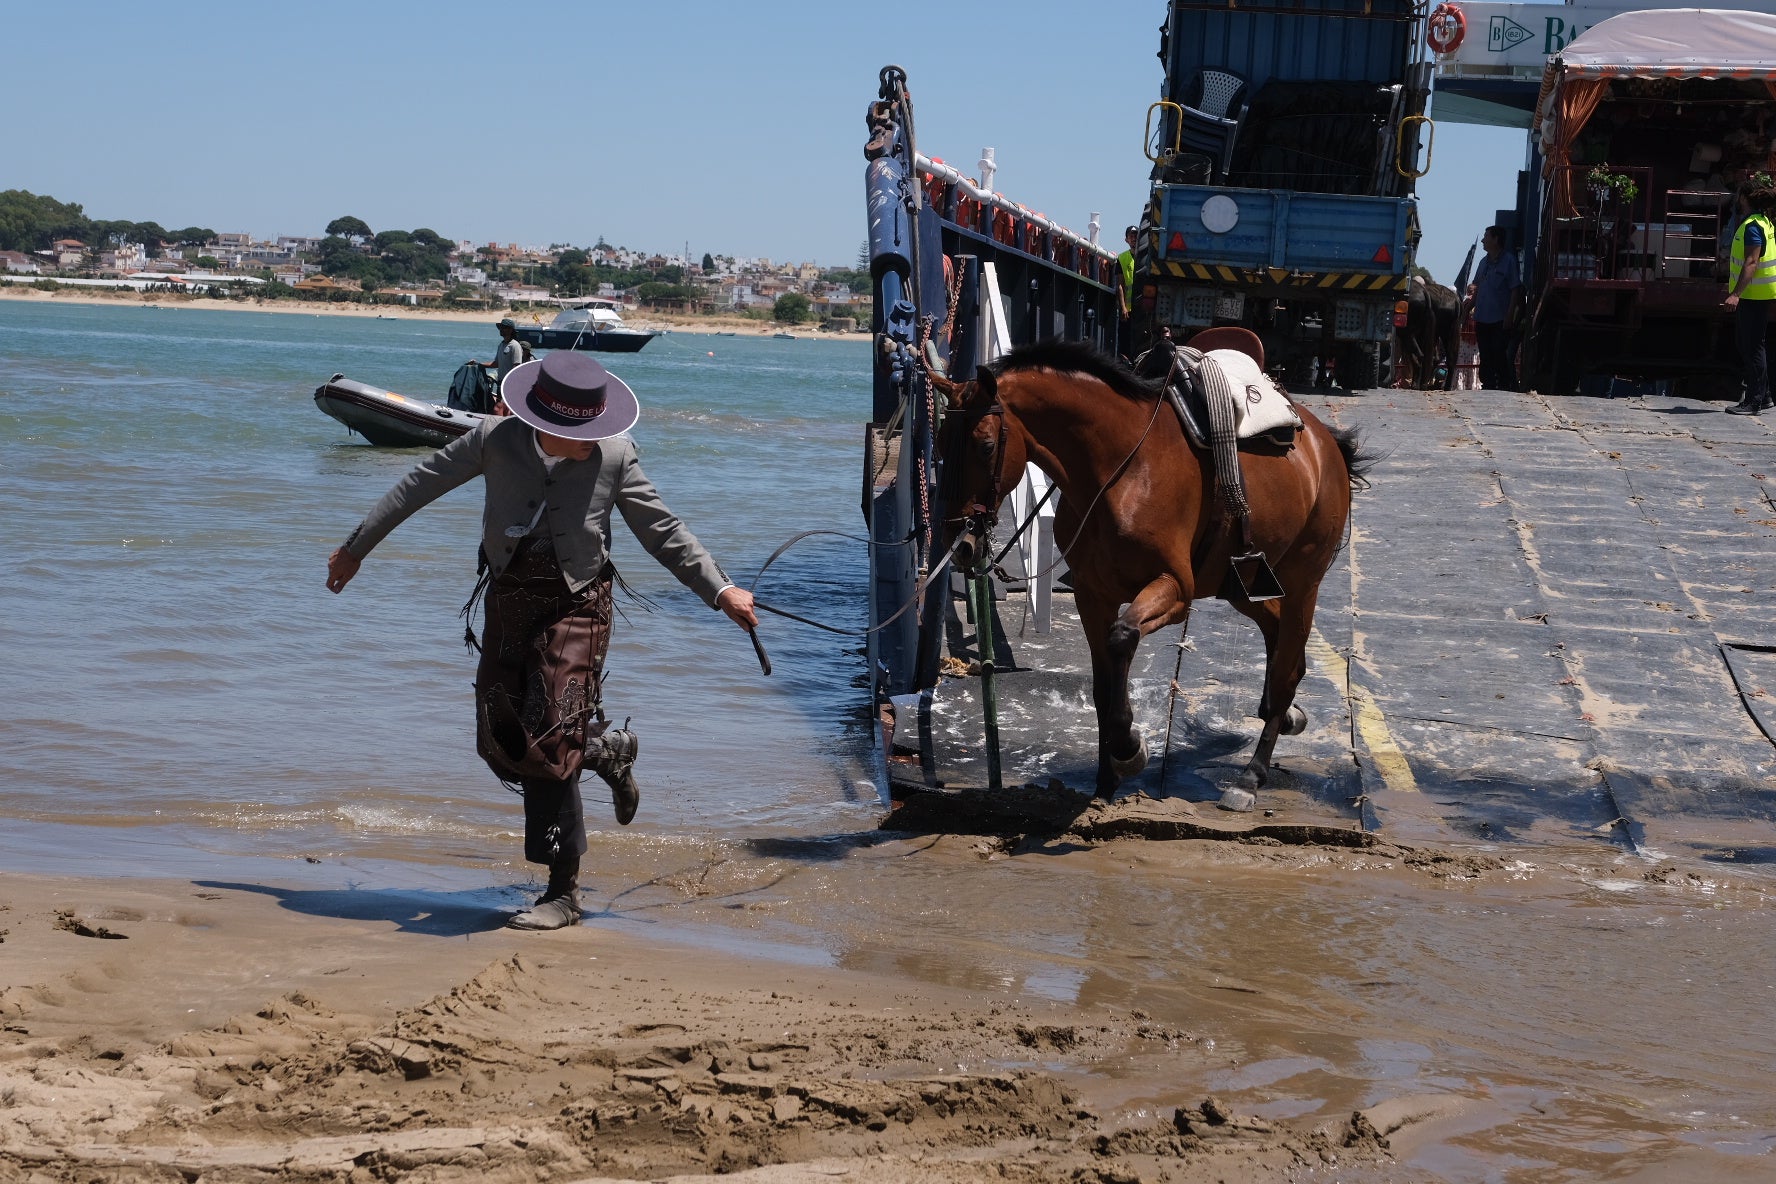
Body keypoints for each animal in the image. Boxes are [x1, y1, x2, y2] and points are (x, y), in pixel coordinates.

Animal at [944, 328, 1371, 802]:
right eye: (940, 442)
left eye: (985, 446)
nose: (962, 544)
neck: (1119, 469)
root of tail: (1326, 443)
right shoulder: (1093, 595)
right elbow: (1102, 685)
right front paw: (1105, 779)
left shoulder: (1175, 590)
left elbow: (1122, 639)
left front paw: (1128, 748)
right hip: (1241, 585)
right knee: (1283, 647)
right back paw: (1286, 715)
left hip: (1301, 582)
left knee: (1285, 664)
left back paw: (1252, 774)